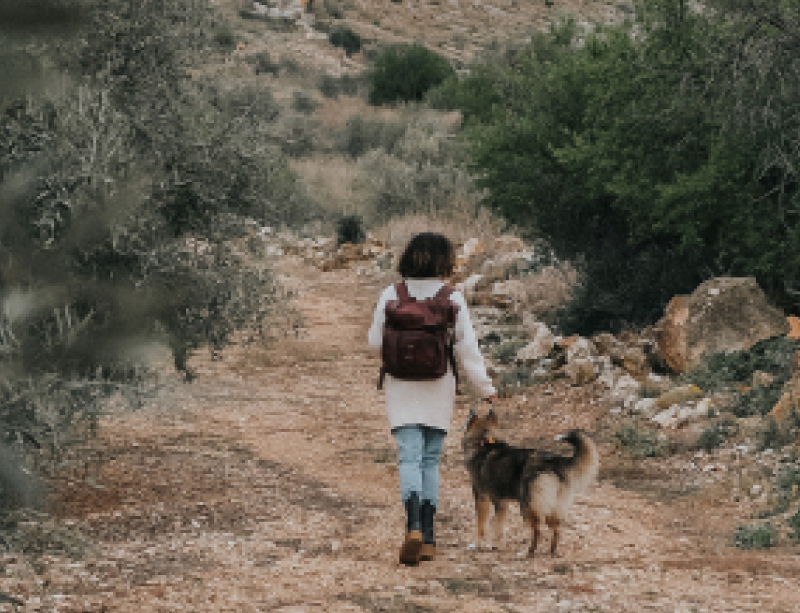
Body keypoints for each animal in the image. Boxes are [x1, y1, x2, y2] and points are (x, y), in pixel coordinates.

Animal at [460, 408, 596, 556]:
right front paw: (496, 545)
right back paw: (552, 551)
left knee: (537, 530)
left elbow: (481, 526)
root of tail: (555, 460)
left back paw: (528, 552)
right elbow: (499, 528)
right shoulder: (501, 503)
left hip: (527, 505)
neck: (484, 443)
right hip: (554, 506)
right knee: (556, 529)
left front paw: (478, 545)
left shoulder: (482, 498)